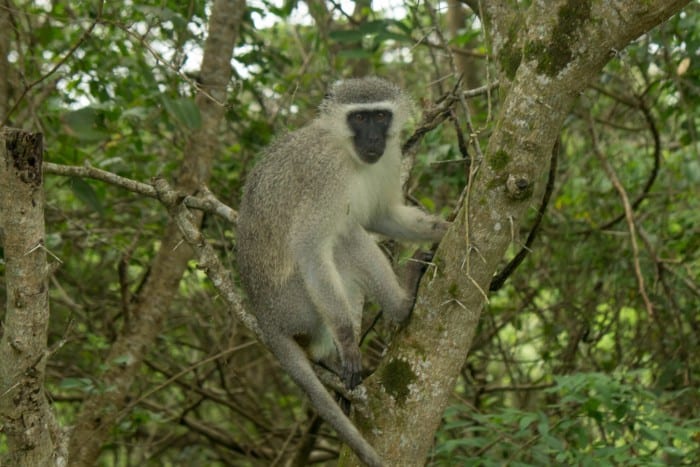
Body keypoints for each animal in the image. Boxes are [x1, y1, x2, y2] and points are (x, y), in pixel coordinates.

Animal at [238, 77, 452, 467]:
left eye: (380, 116)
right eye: (360, 118)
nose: (373, 139)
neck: (348, 153)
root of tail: (263, 313)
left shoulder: (389, 157)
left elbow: (381, 214)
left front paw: (445, 228)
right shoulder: (327, 175)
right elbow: (310, 249)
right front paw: (349, 341)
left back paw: (326, 357)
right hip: (295, 302)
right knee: (344, 239)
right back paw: (400, 303)